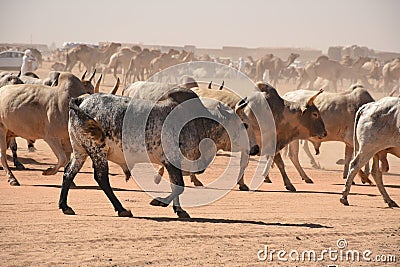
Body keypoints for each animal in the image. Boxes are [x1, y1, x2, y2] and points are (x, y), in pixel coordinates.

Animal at [59, 89, 250, 219]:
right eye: (244, 125)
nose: (252, 149)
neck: (198, 123)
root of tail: (82, 99)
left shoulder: (173, 165)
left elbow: (176, 186)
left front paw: (179, 210)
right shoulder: (171, 161)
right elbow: (179, 186)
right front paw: (159, 202)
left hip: (80, 151)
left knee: (69, 173)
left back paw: (65, 206)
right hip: (98, 151)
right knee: (101, 178)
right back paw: (122, 209)